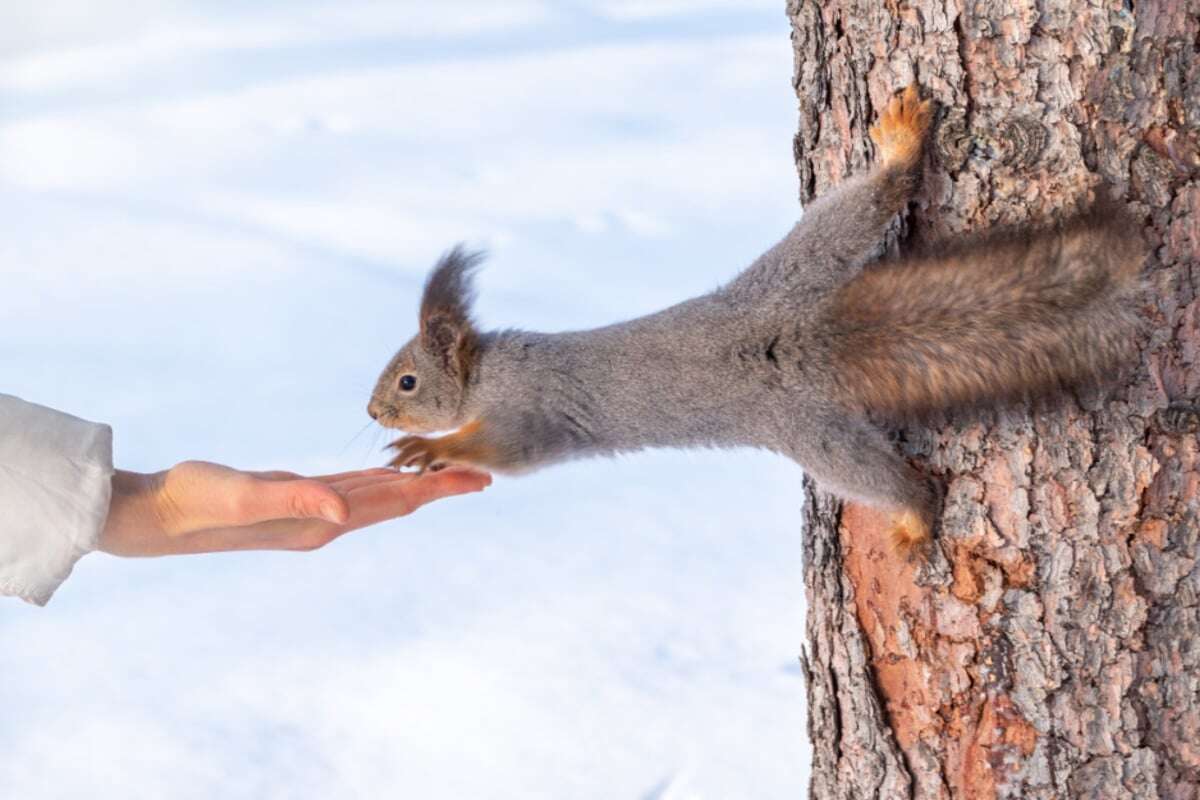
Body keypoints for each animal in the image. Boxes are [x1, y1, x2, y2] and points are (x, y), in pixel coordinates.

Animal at [362, 82, 1142, 556]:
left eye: (406, 382)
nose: (371, 413)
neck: (488, 374)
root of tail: (800, 341)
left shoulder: (531, 411)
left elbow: (507, 450)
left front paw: (432, 448)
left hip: (814, 437)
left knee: (893, 484)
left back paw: (914, 515)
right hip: (802, 267)